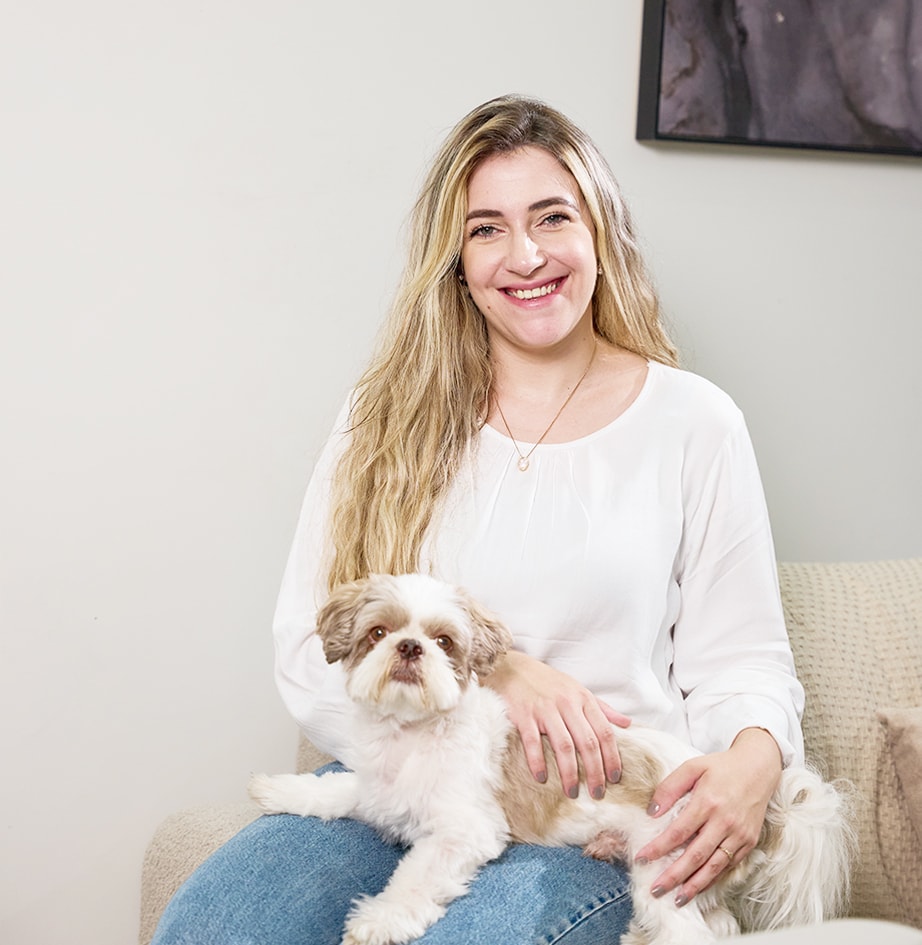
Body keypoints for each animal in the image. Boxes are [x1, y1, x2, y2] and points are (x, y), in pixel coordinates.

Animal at [248, 572, 852, 940]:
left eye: (445, 642)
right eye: (378, 632)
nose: (410, 647)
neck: (413, 736)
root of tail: (769, 811)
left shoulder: (465, 832)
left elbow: (417, 877)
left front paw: (379, 918)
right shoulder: (377, 788)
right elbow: (334, 789)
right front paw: (280, 788)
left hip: (666, 867)